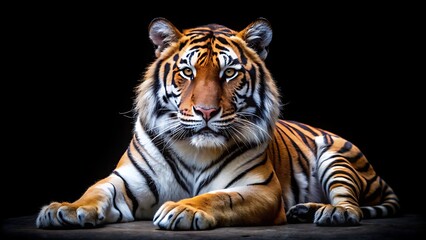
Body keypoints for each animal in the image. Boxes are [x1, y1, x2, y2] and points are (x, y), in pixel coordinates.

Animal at [35, 17, 400, 231]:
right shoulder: (125, 181)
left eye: (229, 73)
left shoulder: (260, 189)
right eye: (187, 72)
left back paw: (332, 213)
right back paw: (305, 211)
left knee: (351, 204)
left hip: (338, 160)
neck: (195, 150)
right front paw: (64, 209)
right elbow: (95, 190)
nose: (206, 111)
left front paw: (182, 209)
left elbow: (219, 197)